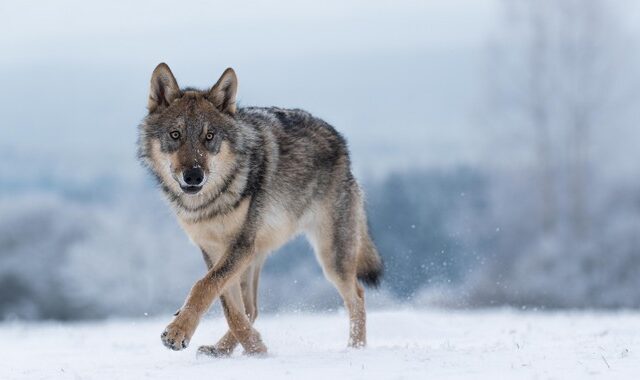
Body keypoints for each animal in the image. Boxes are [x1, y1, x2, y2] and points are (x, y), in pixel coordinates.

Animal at [137, 63, 382, 356]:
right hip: (257, 256)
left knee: (357, 296)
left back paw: (355, 349)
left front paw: (177, 332)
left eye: (209, 137)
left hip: (330, 256)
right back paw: (223, 350)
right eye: (176, 135)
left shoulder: (240, 245)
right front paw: (256, 348)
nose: (194, 176)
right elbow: (228, 305)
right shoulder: (214, 249)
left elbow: (203, 286)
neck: (211, 203)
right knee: (251, 309)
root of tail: (341, 142)